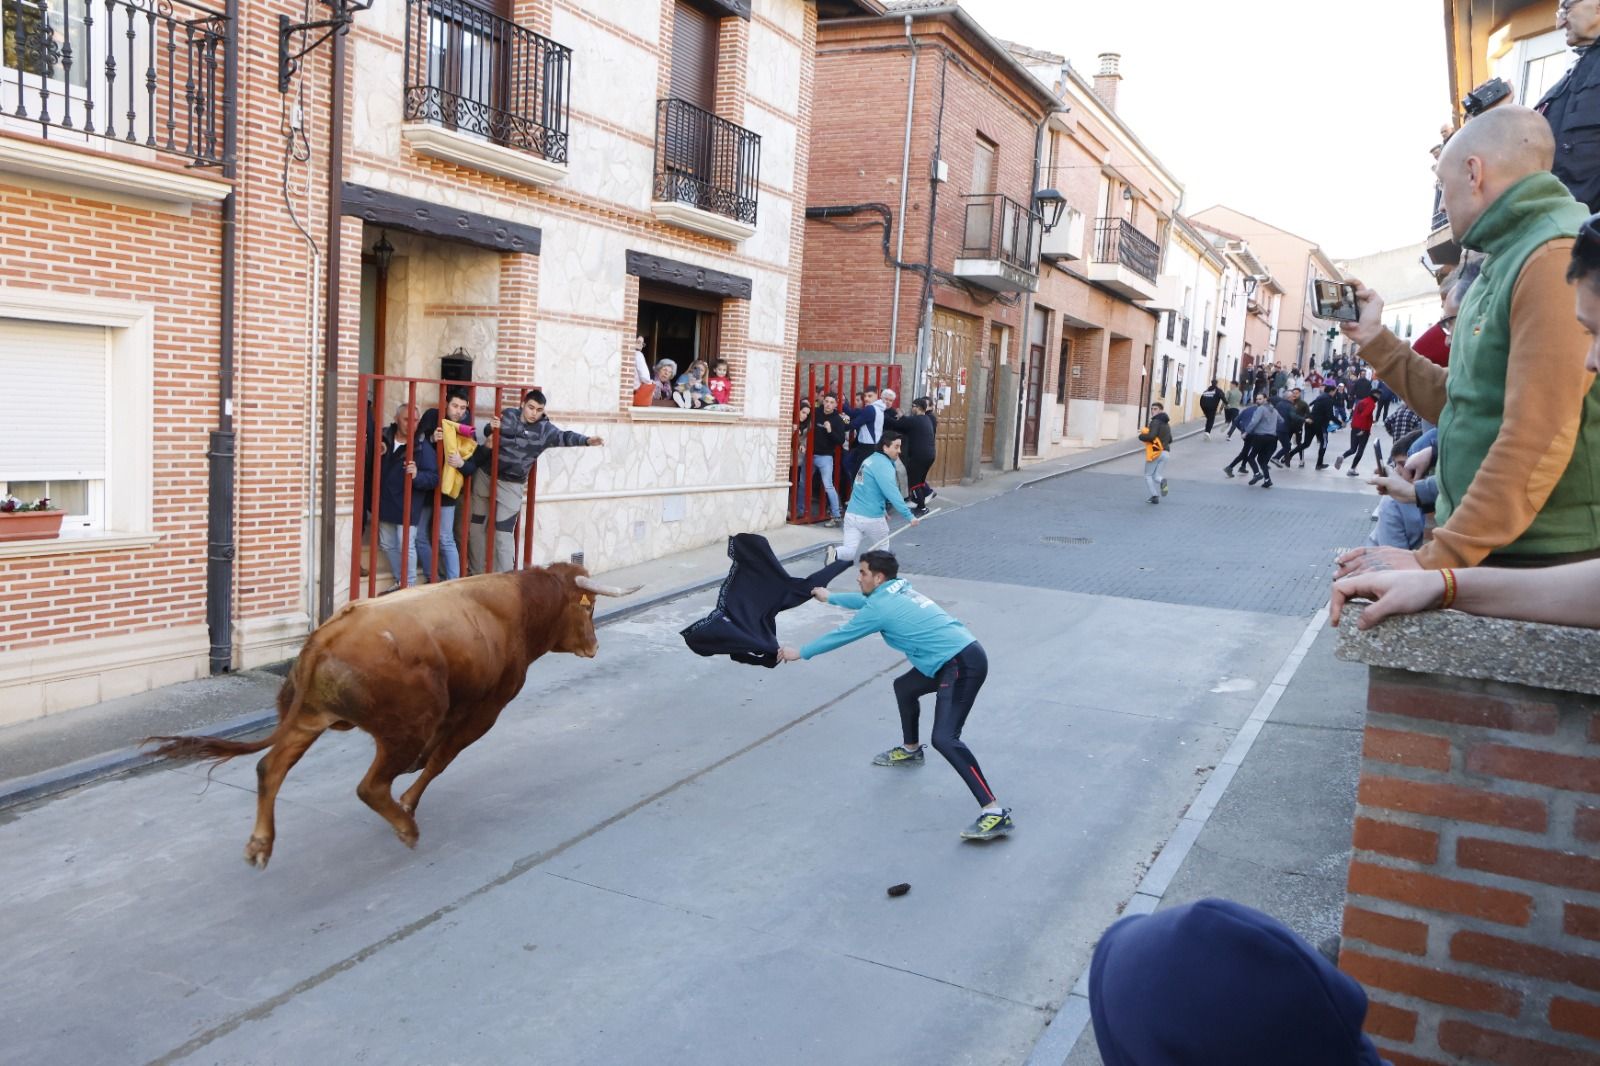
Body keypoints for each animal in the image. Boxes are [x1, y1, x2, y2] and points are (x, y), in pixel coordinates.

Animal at [142, 560, 630, 870]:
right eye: (588, 607)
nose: (594, 646)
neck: (521, 608)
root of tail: (328, 633)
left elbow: (434, 757)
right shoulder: (486, 710)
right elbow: (440, 759)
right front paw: (410, 801)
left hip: (311, 719)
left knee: (270, 768)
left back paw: (262, 845)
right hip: (402, 729)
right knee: (371, 785)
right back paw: (406, 826)